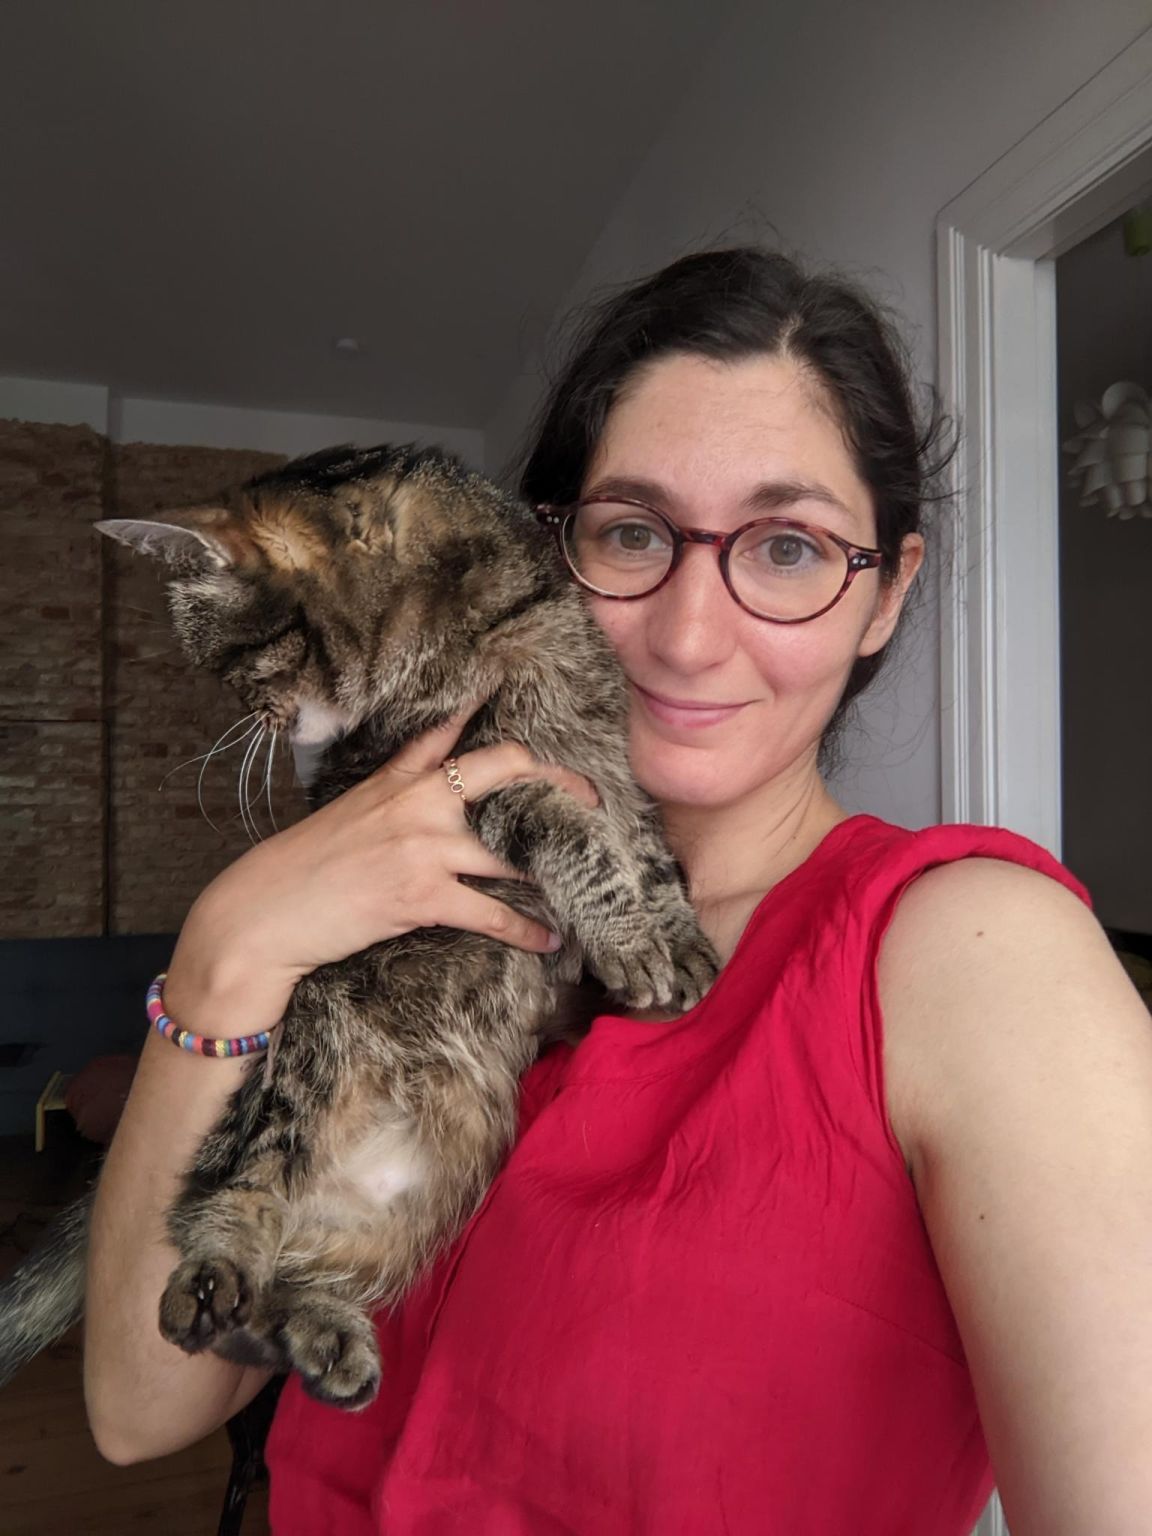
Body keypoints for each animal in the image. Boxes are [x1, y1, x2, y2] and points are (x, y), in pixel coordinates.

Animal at [0, 442, 718, 1409]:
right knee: (224, 1195)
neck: (482, 616)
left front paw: (670, 932)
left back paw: (319, 1332)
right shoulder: (475, 784)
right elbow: (567, 832)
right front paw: (630, 937)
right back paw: (213, 1277)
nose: (259, 723)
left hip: (429, 1192)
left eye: (233, 669)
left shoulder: (610, 764)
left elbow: (643, 847)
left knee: (285, 1290)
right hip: (299, 1054)